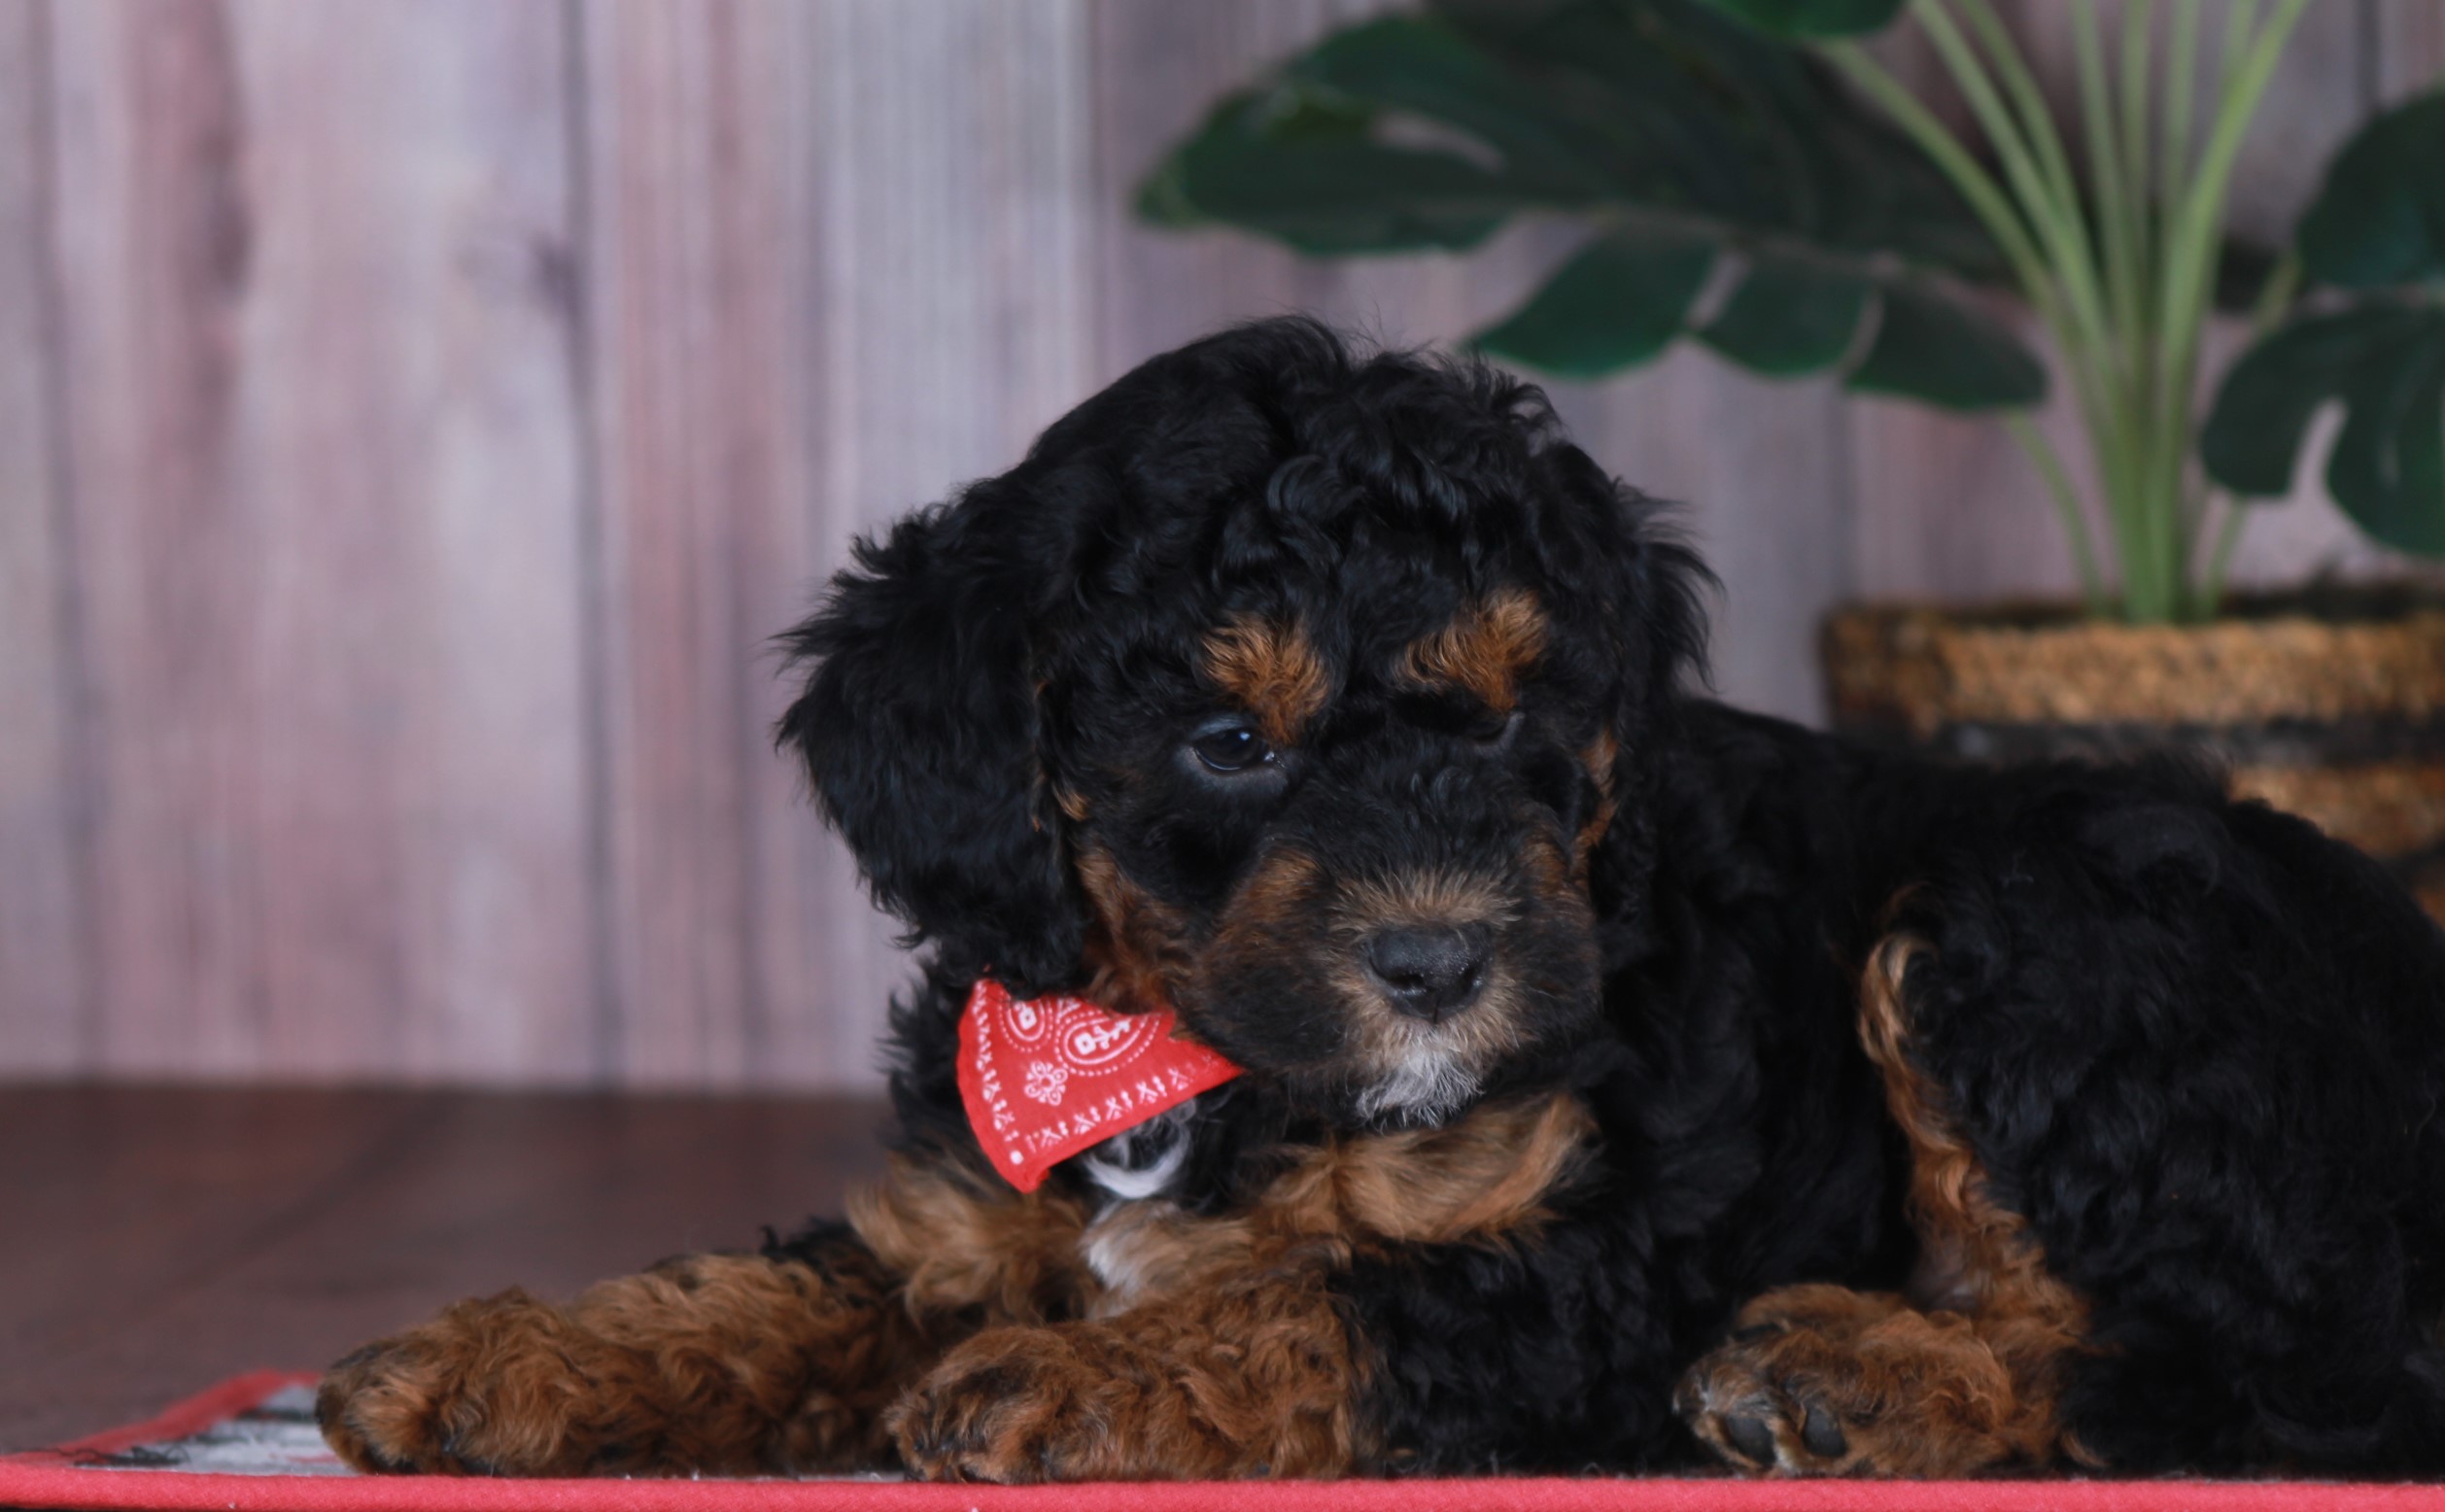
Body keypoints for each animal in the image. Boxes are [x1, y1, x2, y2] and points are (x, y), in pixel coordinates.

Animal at [318, 317, 2445, 1481]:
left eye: (1511, 717)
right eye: (1226, 742)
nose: (1440, 961)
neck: (1181, 1058)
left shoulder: (1585, 1260)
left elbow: (1320, 1302)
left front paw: (1063, 1377)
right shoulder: (954, 1207)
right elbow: (761, 1286)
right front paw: (495, 1359)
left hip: (2030, 932)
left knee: (2207, 1361)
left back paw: (1848, 1372)